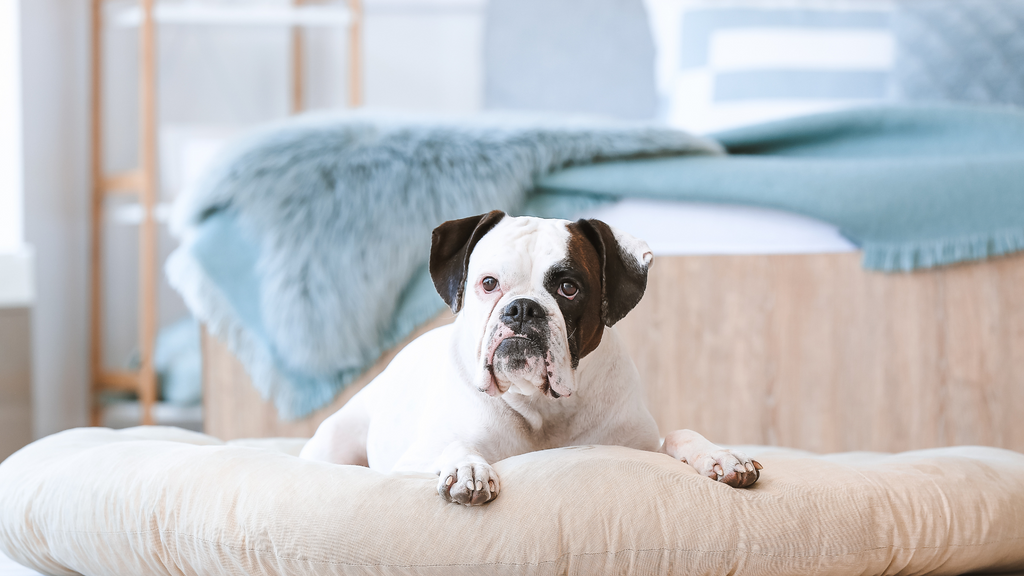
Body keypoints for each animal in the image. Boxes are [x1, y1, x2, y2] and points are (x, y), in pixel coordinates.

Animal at [301, 210, 761, 502]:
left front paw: (722, 455)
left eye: (569, 288)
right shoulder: (408, 463)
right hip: (333, 445)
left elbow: (682, 434)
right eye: (489, 283)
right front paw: (468, 468)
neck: (544, 408)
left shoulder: (642, 446)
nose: (522, 308)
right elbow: (454, 447)